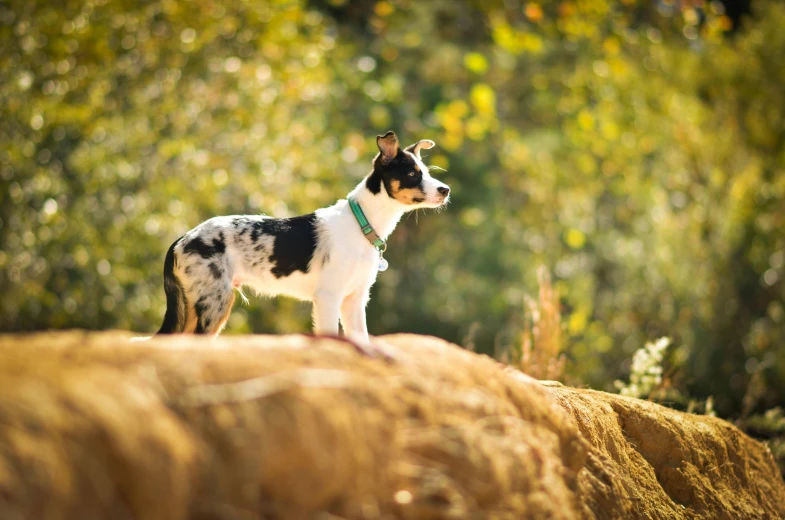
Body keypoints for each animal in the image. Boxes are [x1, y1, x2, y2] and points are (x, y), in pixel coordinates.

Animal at [155, 132, 448, 348]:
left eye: (427, 172)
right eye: (412, 174)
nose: (446, 190)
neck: (360, 222)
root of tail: (182, 239)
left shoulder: (354, 300)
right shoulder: (328, 297)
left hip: (198, 304)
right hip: (215, 303)